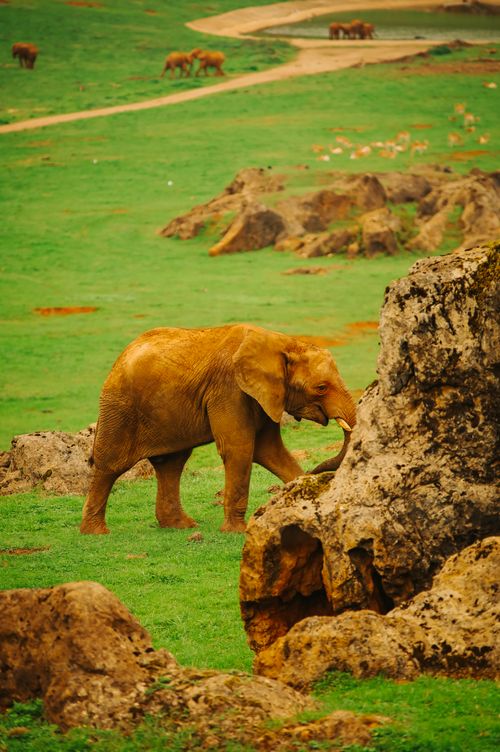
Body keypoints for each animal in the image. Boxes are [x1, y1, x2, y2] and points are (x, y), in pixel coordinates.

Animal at [80, 324, 356, 535]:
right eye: (321, 387)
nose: (316, 471)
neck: (283, 343)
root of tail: (122, 355)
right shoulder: (229, 390)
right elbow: (240, 449)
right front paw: (237, 532)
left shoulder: (264, 395)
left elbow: (270, 451)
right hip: (119, 407)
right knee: (111, 465)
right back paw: (95, 533)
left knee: (171, 465)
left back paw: (181, 526)